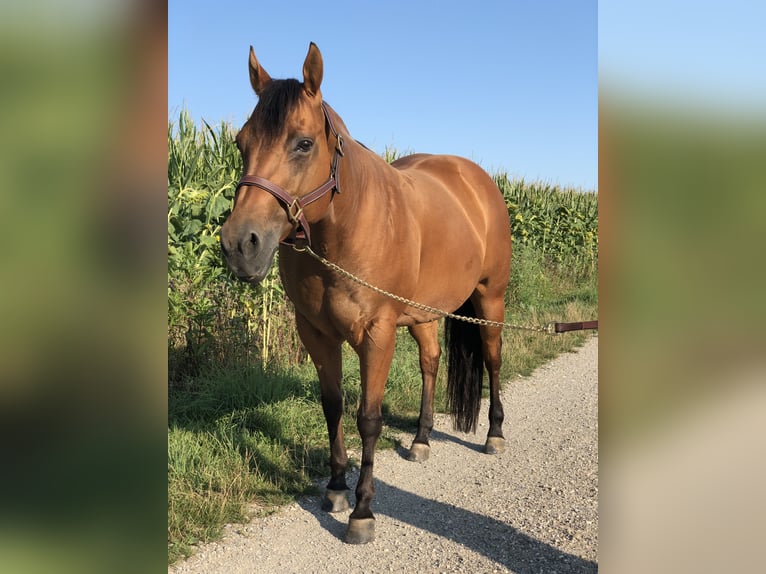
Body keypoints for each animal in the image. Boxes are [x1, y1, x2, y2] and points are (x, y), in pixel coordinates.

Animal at [220, 42, 512, 544]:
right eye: (241, 143)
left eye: (303, 143)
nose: (240, 245)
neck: (345, 225)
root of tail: (478, 181)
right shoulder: (316, 333)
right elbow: (333, 407)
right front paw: (336, 488)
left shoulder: (377, 334)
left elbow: (368, 419)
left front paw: (361, 512)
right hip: (424, 314)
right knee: (431, 362)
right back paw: (421, 440)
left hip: (489, 299)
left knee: (492, 360)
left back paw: (494, 434)